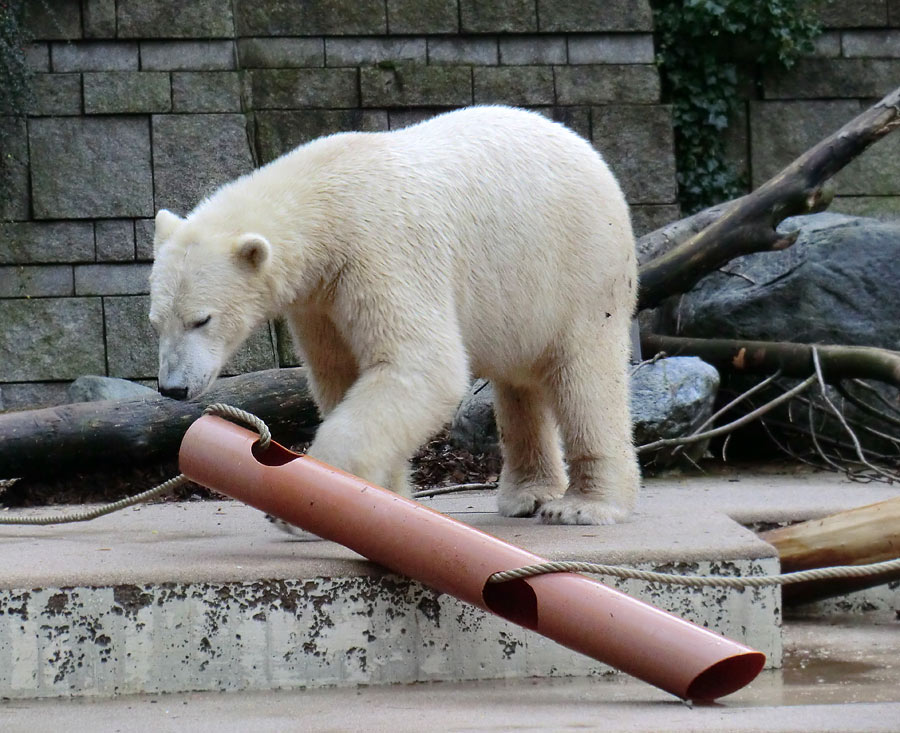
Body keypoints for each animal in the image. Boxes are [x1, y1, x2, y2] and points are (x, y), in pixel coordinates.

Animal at [149, 106, 640, 524]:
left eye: (201, 320)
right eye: (156, 322)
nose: (174, 388)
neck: (325, 200)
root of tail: (588, 150)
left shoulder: (381, 250)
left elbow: (420, 365)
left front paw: (310, 490)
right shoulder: (319, 302)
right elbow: (341, 376)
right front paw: (385, 498)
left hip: (580, 268)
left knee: (585, 379)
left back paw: (583, 505)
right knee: (520, 387)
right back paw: (528, 495)